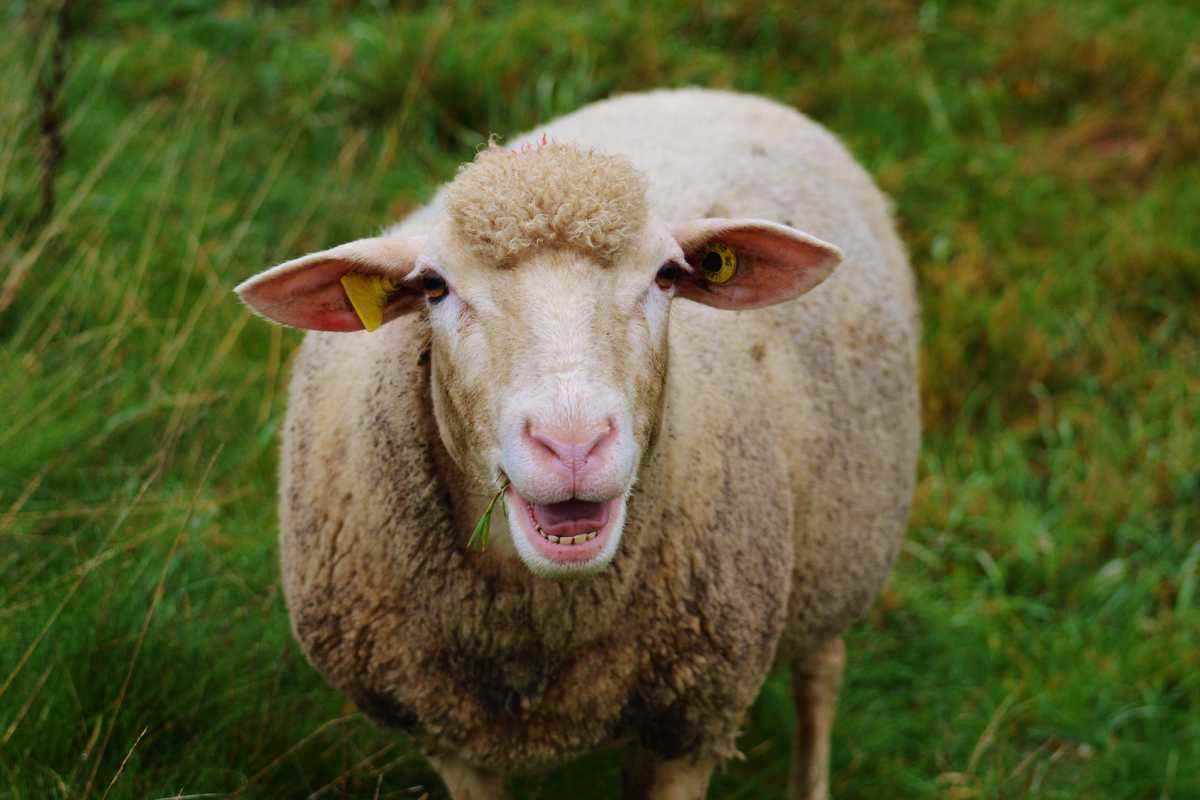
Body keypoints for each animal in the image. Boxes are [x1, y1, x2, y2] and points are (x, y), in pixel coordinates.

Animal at [238, 89, 921, 800]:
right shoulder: (452, 736)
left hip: (840, 551)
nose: (572, 445)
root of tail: (726, 94)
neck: (538, 632)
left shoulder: (692, 722)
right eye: (434, 287)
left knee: (821, 676)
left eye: (668, 275)